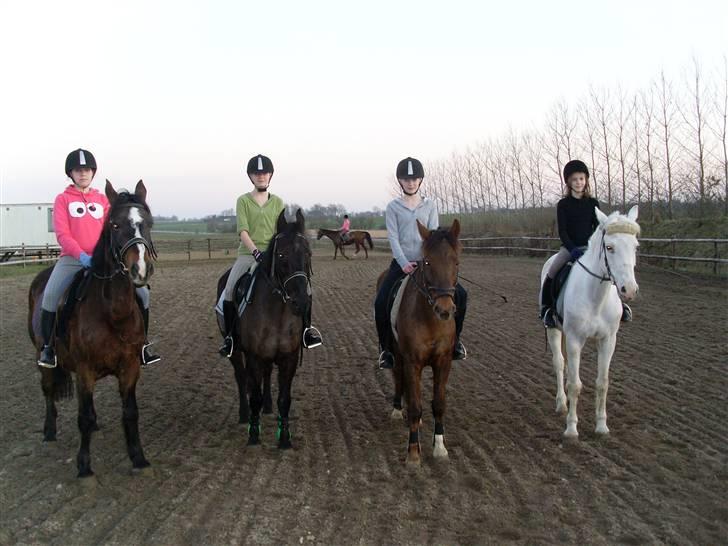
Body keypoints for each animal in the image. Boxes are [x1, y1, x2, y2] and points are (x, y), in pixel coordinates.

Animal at [27, 180, 156, 478]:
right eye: (115, 225)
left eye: (148, 223)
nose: (140, 270)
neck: (112, 313)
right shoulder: (85, 369)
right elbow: (83, 417)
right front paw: (84, 466)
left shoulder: (130, 367)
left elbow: (130, 412)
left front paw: (139, 459)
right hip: (42, 357)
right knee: (48, 389)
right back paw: (49, 432)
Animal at [220, 209, 311, 448]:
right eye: (281, 256)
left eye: (308, 254)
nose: (301, 302)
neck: (276, 312)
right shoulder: (254, 356)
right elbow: (254, 395)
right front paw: (253, 434)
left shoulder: (289, 357)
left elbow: (284, 399)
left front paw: (285, 438)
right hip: (236, 351)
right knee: (241, 378)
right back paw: (244, 415)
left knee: (267, 375)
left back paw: (268, 408)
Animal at [378, 219, 461, 465]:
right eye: (427, 262)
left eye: (456, 262)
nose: (444, 310)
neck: (430, 318)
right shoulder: (411, 360)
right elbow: (415, 405)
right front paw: (413, 452)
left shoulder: (443, 361)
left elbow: (439, 404)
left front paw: (440, 448)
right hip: (396, 354)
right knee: (398, 378)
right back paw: (398, 410)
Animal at [540, 205, 640, 438]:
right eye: (609, 247)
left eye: (635, 247)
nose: (629, 290)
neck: (596, 297)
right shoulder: (575, 339)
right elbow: (574, 385)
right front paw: (571, 429)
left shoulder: (608, 340)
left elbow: (602, 383)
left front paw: (602, 427)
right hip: (554, 330)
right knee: (559, 364)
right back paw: (561, 404)